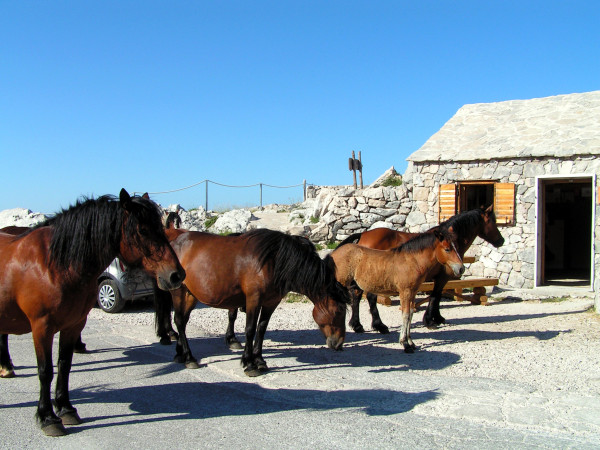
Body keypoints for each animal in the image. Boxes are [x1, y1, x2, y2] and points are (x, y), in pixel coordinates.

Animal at [0, 189, 185, 436]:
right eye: (142, 230)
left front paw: (66, 408)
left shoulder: (72, 325)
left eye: (160, 228)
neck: (54, 265)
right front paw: (47, 417)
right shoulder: (41, 328)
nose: (177, 275)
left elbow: (64, 365)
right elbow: (45, 371)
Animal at [156, 229, 352, 376]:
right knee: (179, 321)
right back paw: (189, 358)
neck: (274, 261)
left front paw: (259, 360)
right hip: (180, 292)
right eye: (339, 310)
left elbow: (261, 329)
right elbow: (250, 329)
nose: (339, 343)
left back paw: (180, 354)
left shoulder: (271, 302)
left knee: (182, 321)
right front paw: (249, 364)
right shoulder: (253, 299)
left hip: (190, 295)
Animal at [332, 230, 464, 354]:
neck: (412, 261)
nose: (461, 268)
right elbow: (405, 315)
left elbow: (410, 313)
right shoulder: (405, 292)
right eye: (447, 249)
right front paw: (405, 344)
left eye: (456, 247)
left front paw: (411, 342)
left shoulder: (412, 292)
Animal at [340, 207, 504, 330]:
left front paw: (437, 317)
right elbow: (435, 296)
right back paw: (378, 325)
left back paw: (357, 325)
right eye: (493, 222)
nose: (501, 241)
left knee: (357, 295)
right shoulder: (443, 277)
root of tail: (363, 234)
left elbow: (436, 296)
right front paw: (431, 320)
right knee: (369, 297)